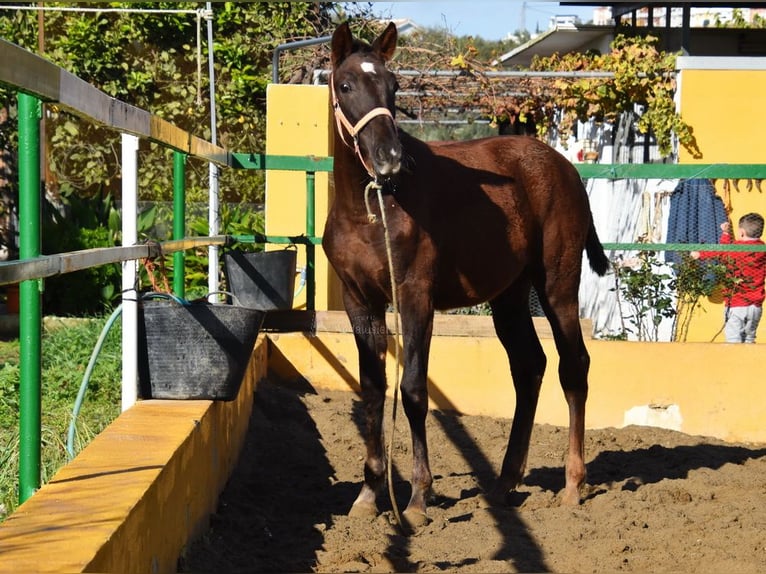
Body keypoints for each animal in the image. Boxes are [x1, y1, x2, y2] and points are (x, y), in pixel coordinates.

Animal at [324, 22, 612, 532]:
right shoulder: (361, 301)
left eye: (394, 85)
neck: (370, 209)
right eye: (346, 84)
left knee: (573, 366)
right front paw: (368, 494)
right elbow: (373, 390)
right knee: (529, 367)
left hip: (557, 286)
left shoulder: (415, 297)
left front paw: (418, 499)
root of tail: (565, 167)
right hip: (509, 297)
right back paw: (504, 482)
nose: (390, 157)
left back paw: (573, 484)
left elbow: (413, 390)